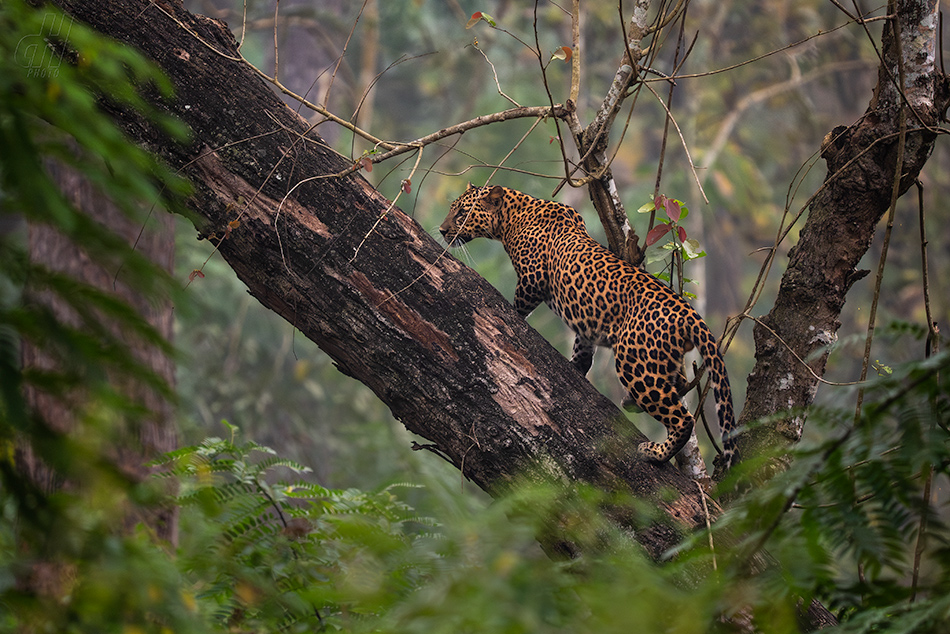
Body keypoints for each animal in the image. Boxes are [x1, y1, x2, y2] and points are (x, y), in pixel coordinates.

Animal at [442, 180, 740, 466]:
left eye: (462, 213)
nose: (443, 231)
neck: (512, 217)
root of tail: (689, 313)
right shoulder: (586, 323)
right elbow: (583, 349)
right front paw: (576, 366)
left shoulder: (532, 278)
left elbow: (519, 306)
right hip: (662, 359)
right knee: (677, 386)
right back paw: (633, 403)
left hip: (636, 362)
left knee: (682, 418)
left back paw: (655, 452)